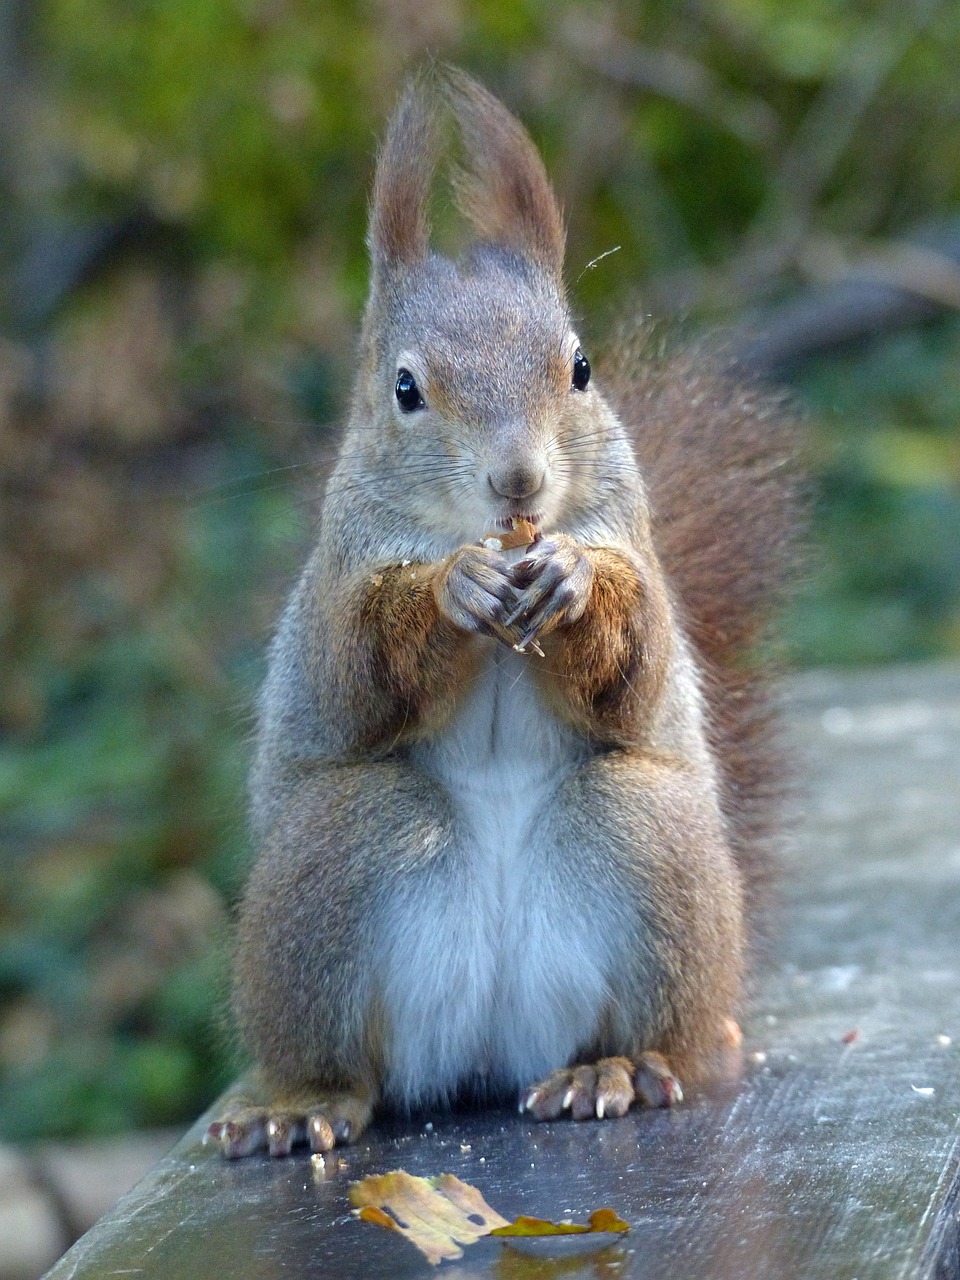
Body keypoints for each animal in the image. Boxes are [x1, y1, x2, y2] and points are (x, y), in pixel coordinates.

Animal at [207, 64, 798, 1162]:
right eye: (404, 388)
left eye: (581, 367)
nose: (517, 480)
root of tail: (487, 1050)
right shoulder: (337, 584)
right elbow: (357, 669)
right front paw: (453, 591)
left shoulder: (635, 549)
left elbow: (639, 664)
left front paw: (572, 580)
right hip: (330, 858)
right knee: (349, 1061)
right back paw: (299, 1099)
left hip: (652, 845)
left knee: (683, 1041)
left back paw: (621, 1066)